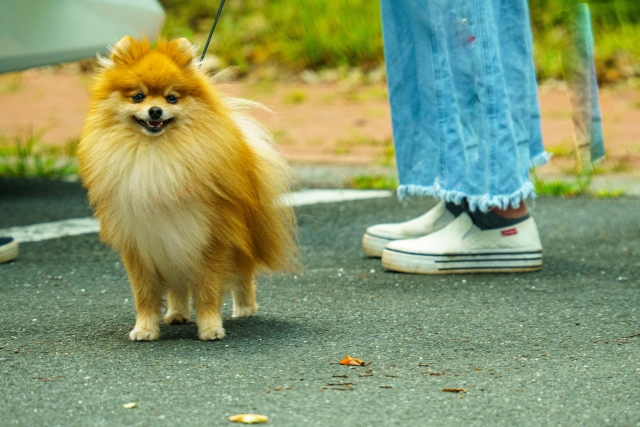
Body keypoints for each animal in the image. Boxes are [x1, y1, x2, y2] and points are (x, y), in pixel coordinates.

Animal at [79, 37, 298, 344]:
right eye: (138, 97)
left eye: (171, 98)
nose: (155, 111)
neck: (156, 155)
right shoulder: (140, 241)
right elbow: (145, 294)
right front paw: (145, 328)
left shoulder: (209, 237)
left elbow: (207, 289)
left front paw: (210, 328)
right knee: (178, 287)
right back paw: (177, 314)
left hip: (240, 237)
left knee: (243, 275)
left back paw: (244, 309)